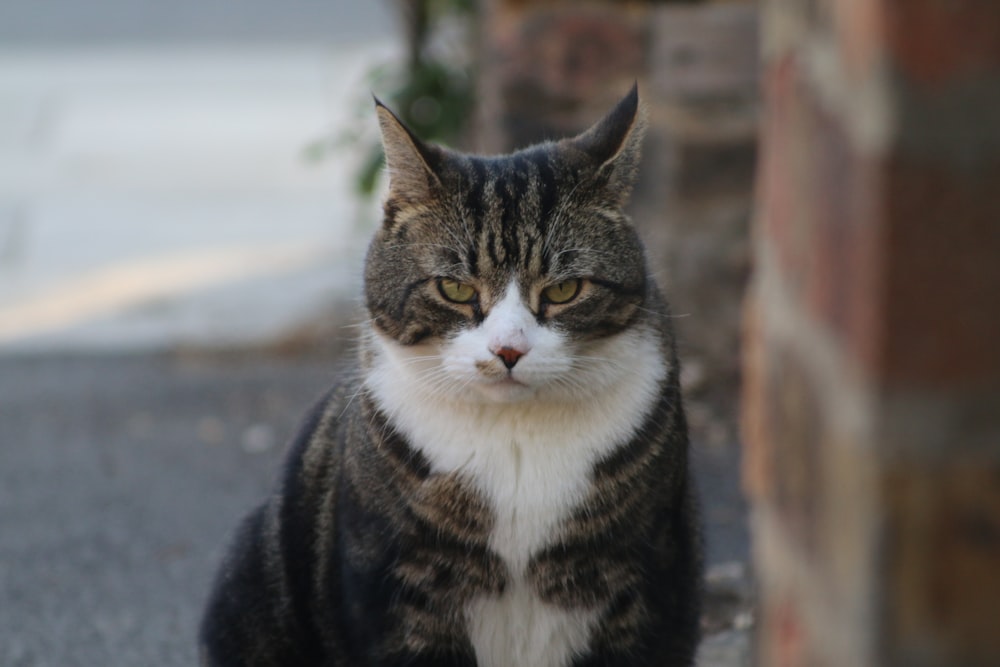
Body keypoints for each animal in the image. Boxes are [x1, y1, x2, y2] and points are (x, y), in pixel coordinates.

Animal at [199, 85, 704, 667]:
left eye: (563, 290)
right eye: (456, 289)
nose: (509, 350)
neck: (515, 441)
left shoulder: (640, 585)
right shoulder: (405, 596)